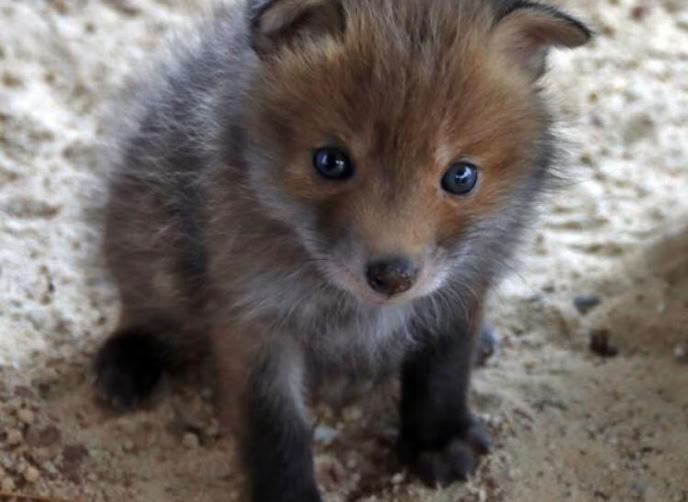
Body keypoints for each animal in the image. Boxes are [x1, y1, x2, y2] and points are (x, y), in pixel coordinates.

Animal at [92, 0, 591, 500]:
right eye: (330, 162)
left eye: (461, 176)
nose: (392, 276)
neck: (356, 312)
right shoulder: (252, 315)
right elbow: (275, 428)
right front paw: (288, 494)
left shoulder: (463, 286)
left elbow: (443, 373)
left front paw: (438, 438)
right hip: (148, 240)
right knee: (142, 303)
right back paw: (127, 360)